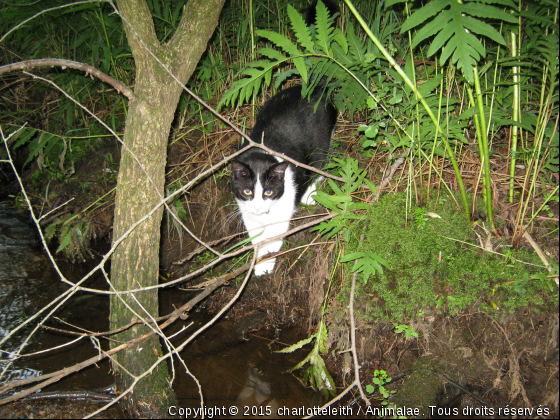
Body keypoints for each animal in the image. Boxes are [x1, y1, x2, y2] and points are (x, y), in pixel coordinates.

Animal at [232, 85, 336, 276]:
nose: (258, 207)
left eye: (268, 192)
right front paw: (260, 261)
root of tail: (316, 86)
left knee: (320, 159)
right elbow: (256, 238)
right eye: (247, 191)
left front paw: (265, 263)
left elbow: (272, 236)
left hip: (321, 137)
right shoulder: (246, 211)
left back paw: (309, 192)